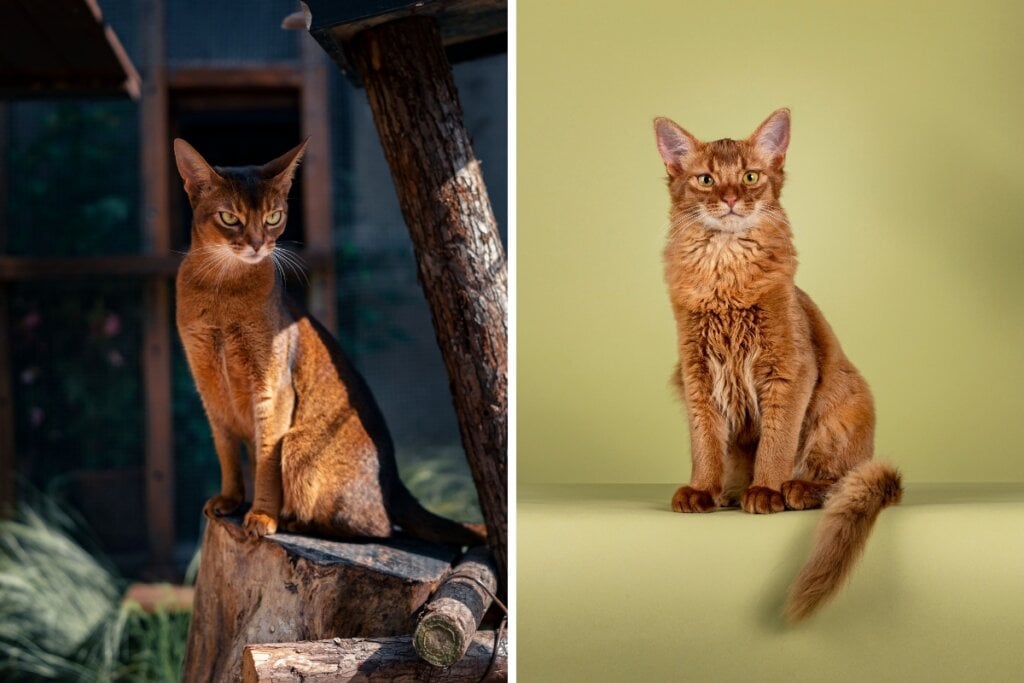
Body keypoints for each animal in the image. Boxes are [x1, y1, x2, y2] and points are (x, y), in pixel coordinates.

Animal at [171, 141, 483, 548]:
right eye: (229, 218)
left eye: (273, 218)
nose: (257, 245)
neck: (222, 289)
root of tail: (395, 480)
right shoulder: (207, 386)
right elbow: (225, 451)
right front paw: (229, 499)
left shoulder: (273, 391)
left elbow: (265, 459)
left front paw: (262, 516)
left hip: (300, 445)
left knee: (379, 528)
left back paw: (294, 521)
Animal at [655, 108, 905, 626]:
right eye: (706, 180)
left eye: (751, 176)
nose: (732, 199)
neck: (725, 269)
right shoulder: (696, 373)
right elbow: (704, 443)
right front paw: (702, 489)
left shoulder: (788, 370)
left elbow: (776, 441)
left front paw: (765, 491)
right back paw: (730, 490)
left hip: (840, 413)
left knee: (836, 480)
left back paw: (795, 489)